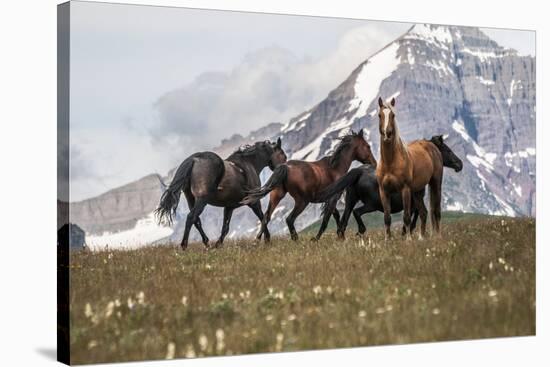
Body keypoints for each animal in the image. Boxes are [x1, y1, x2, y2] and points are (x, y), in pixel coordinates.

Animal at [153, 139, 286, 250]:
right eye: (283, 155)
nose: (283, 168)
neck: (249, 164)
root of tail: (194, 159)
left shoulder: (229, 207)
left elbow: (225, 228)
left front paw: (218, 244)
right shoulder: (253, 202)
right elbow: (263, 217)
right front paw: (266, 239)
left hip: (191, 198)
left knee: (196, 220)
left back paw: (207, 243)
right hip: (202, 199)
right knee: (191, 217)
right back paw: (184, 245)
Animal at [242, 131, 380, 243]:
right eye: (367, 146)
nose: (374, 163)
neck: (335, 168)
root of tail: (285, 167)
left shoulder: (329, 200)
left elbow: (335, 216)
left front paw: (340, 236)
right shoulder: (333, 198)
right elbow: (326, 219)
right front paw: (317, 238)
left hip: (277, 196)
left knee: (266, 217)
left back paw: (260, 240)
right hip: (302, 201)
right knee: (289, 219)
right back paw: (296, 240)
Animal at [316, 135, 464, 242]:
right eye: (448, 150)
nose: (460, 164)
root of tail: (359, 171)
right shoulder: (412, 204)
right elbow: (414, 217)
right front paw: (406, 234)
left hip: (351, 200)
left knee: (343, 222)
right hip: (372, 204)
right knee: (357, 212)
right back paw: (361, 231)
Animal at [378, 97, 446, 242]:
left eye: (393, 115)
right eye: (380, 115)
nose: (387, 134)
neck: (390, 162)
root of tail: (432, 147)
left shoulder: (405, 189)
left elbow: (407, 216)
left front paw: (408, 240)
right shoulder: (384, 191)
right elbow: (387, 217)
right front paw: (387, 239)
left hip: (435, 183)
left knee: (436, 210)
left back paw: (438, 236)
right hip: (417, 191)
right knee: (424, 212)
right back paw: (421, 238)